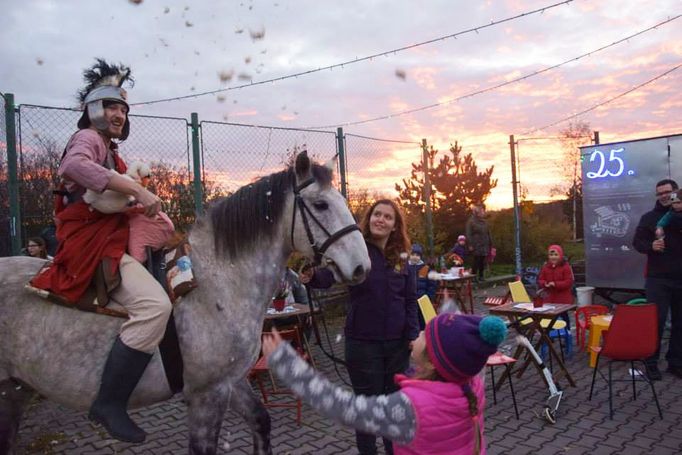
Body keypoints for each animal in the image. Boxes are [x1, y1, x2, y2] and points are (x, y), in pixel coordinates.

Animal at [0, 154, 370, 455]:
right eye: (320, 205)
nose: (361, 267)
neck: (215, 285)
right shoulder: (206, 395)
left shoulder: (229, 382)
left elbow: (261, 422)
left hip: (13, 391)